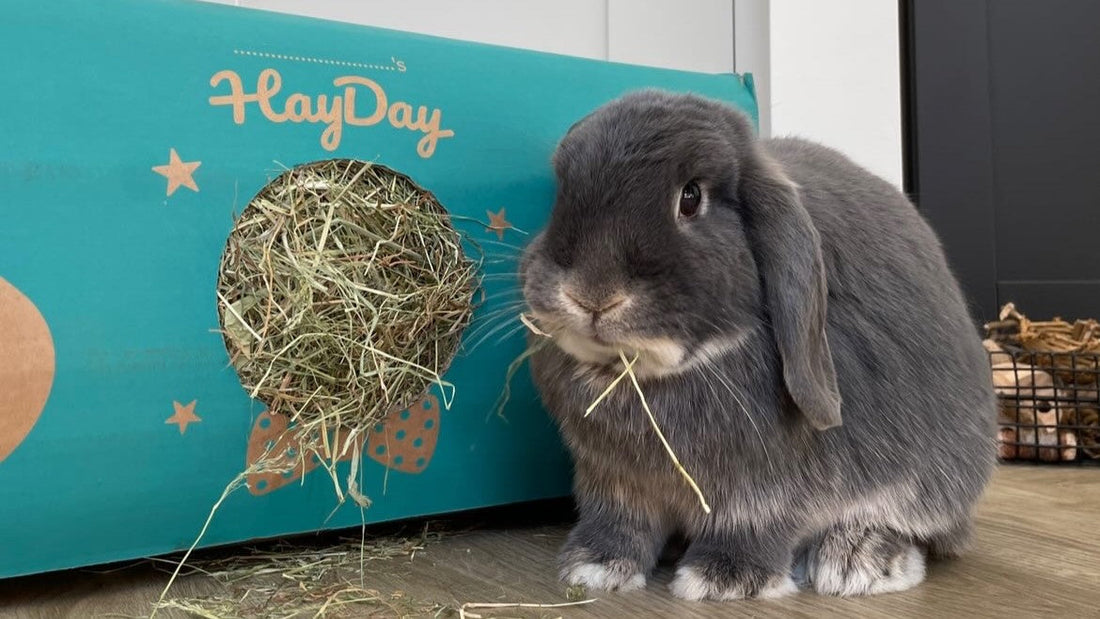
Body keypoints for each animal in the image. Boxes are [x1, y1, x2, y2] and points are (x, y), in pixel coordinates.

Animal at [518, 89, 997, 600]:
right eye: (562, 192)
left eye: (691, 198)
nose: (591, 295)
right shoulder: (614, 483)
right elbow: (618, 523)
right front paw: (593, 567)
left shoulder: (765, 491)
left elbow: (752, 526)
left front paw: (723, 579)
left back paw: (857, 561)